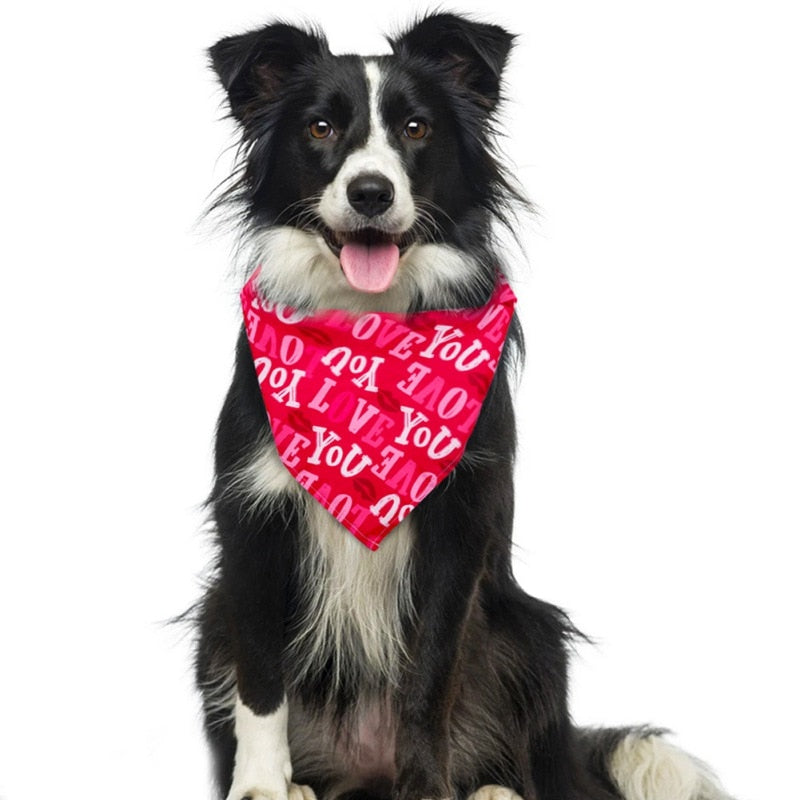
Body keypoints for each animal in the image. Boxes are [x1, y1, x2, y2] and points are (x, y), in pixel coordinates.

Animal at [195, 12, 736, 800]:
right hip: (212, 618)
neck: (368, 334)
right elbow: (261, 681)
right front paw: (262, 786)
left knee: (534, 761)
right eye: (321, 127)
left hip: (529, 628)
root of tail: (363, 772)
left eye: (416, 128)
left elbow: (428, 679)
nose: (370, 192)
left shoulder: (458, 525)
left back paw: (492, 788)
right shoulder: (251, 523)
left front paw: (429, 789)